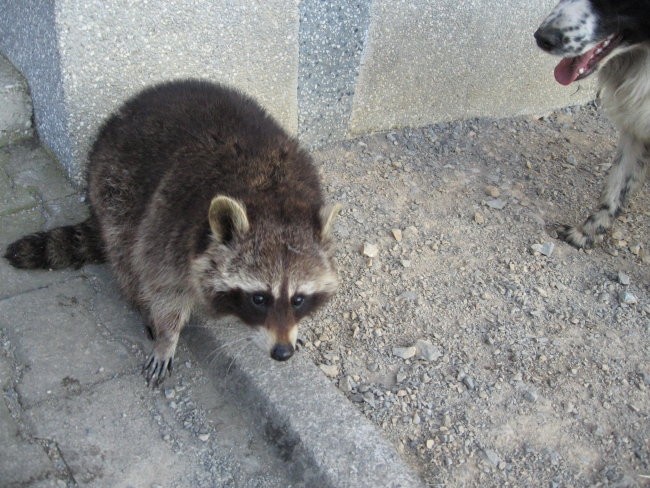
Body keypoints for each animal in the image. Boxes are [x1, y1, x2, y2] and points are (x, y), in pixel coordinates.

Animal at [3, 79, 340, 386]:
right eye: (259, 298)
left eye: (298, 299)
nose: (282, 352)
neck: (271, 194)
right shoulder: (170, 226)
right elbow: (163, 285)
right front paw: (168, 336)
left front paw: (295, 328)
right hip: (113, 184)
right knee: (125, 249)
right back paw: (139, 300)